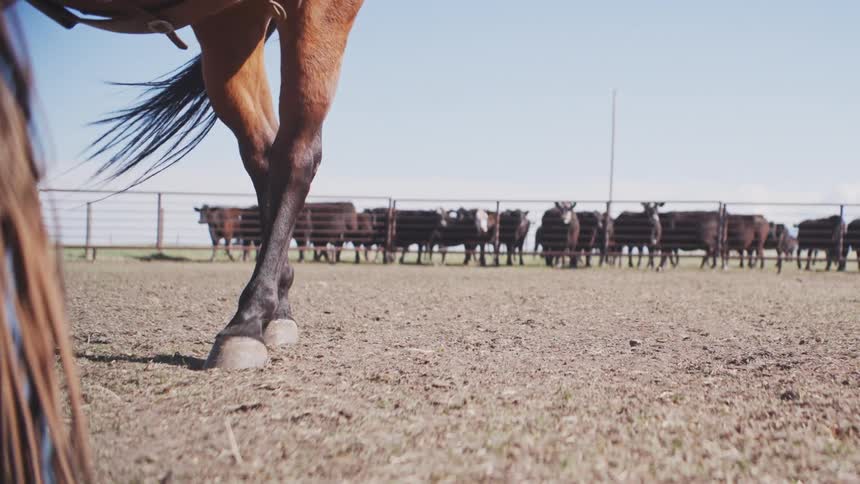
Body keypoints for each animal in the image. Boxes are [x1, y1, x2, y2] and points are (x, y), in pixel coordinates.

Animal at [24, 0, 365, 369]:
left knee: (295, 153)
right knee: (264, 150)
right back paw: (276, 307)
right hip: (229, 28)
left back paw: (248, 319)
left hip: (310, 17)